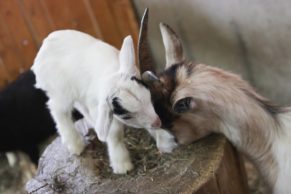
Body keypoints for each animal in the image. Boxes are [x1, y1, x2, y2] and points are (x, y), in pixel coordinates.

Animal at [32, 30, 178, 174]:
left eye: (149, 98)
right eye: (126, 116)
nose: (158, 122)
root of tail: (45, 44)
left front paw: (165, 141)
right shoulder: (102, 110)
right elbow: (115, 134)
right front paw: (122, 165)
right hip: (60, 93)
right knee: (57, 109)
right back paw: (75, 144)